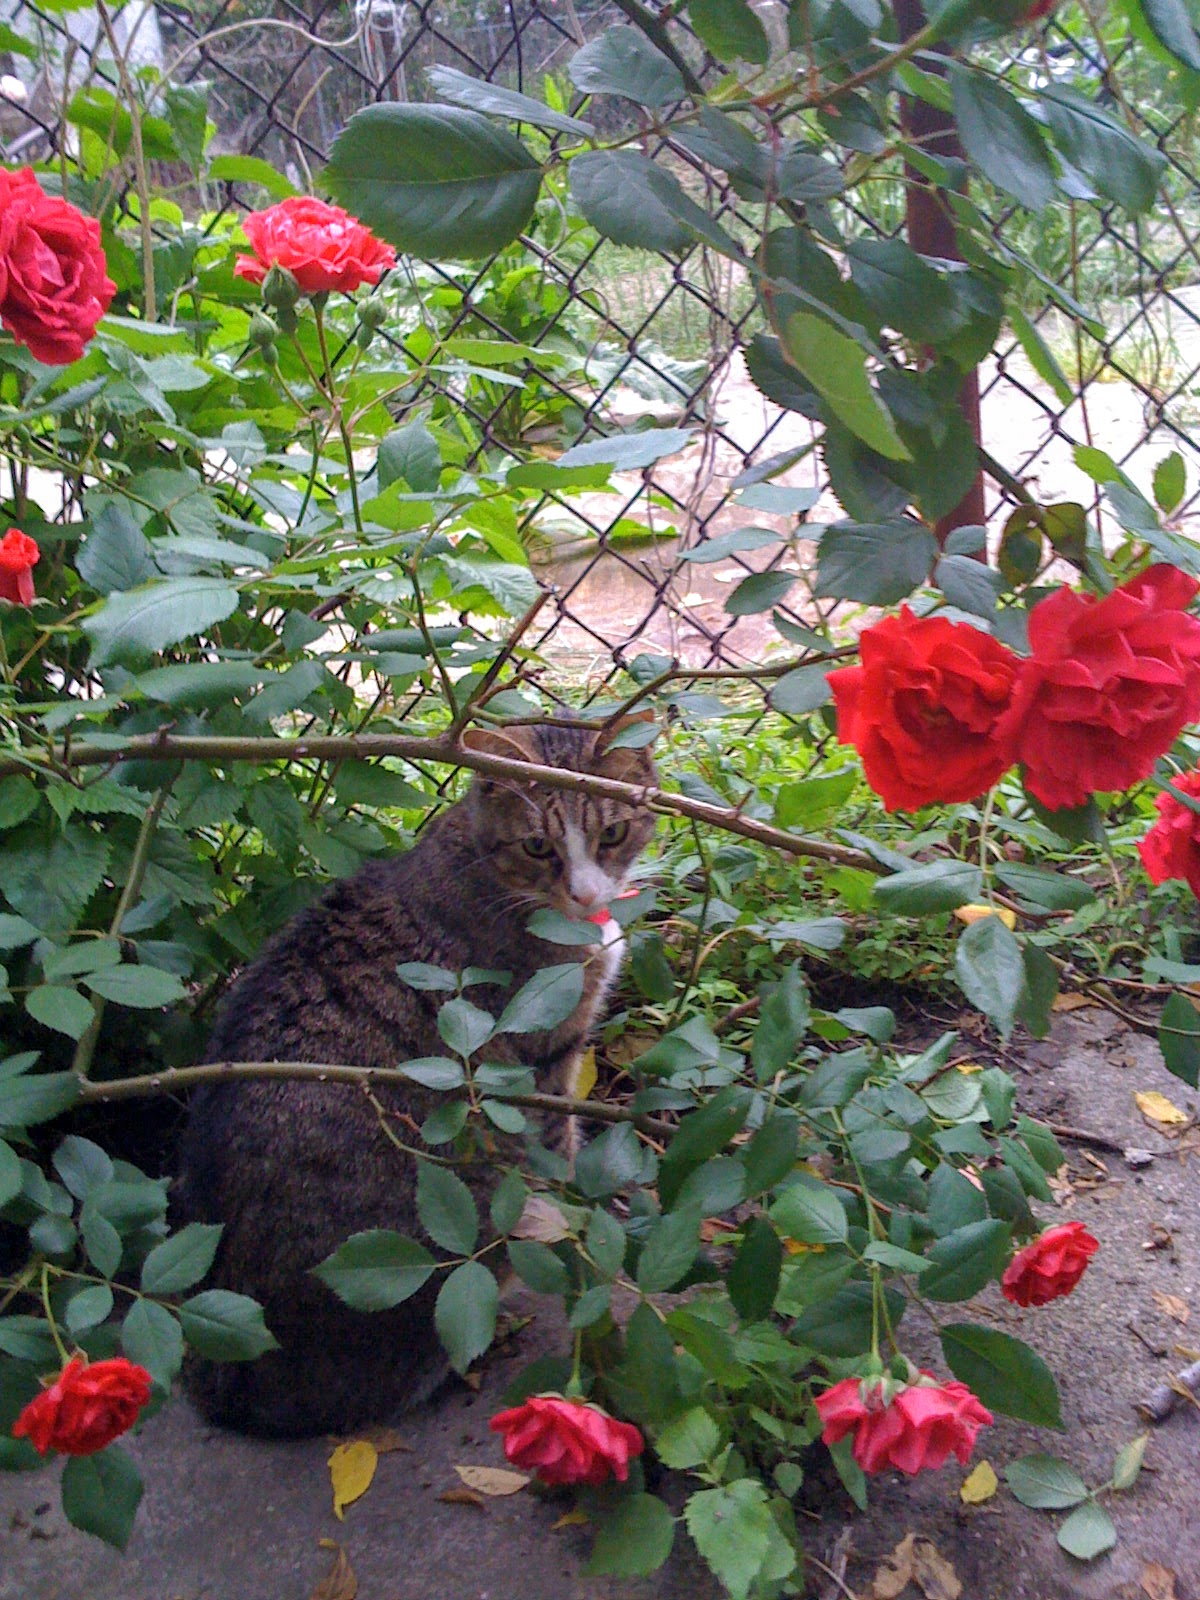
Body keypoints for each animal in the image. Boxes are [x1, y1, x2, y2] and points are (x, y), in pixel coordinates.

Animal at [178, 716, 659, 1440]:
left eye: (611, 834)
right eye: (538, 845)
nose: (586, 895)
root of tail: (224, 1375)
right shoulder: (546, 1054)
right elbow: (562, 1144)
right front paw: (577, 1219)